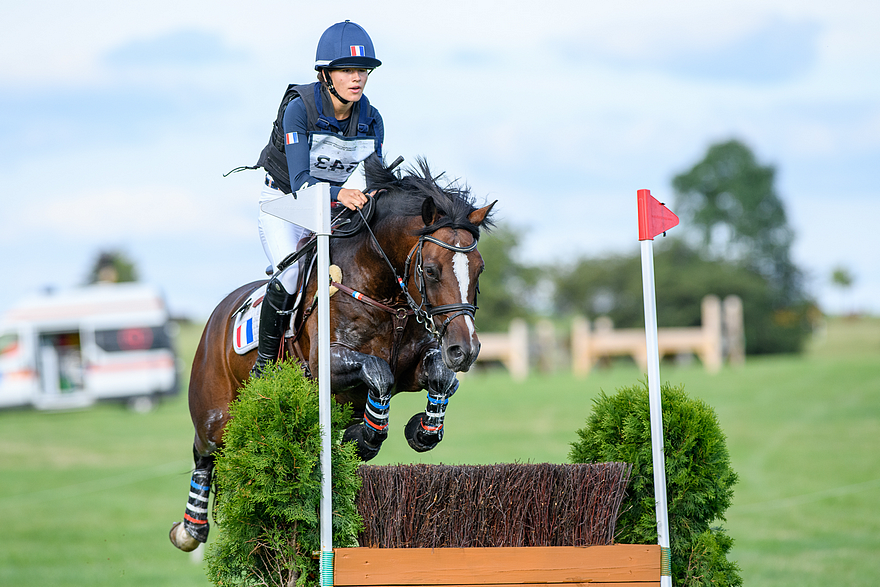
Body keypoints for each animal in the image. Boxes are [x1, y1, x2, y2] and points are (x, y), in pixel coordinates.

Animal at [169, 156, 496, 551]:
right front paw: (364, 438)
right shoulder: (326, 364)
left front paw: (420, 430)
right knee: (205, 451)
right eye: (431, 271)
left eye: (479, 269)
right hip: (215, 413)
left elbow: (439, 378)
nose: (465, 350)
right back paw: (189, 530)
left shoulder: (413, 367)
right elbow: (379, 373)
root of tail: (219, 313)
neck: (384, 290)